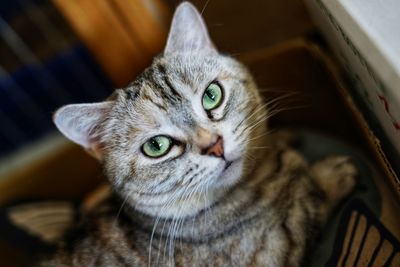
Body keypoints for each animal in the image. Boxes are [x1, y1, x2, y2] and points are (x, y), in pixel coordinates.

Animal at [39, 1, 354, 266]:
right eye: (156, 146)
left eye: (211, 95)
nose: (214, 145)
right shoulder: (277, 245)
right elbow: (308, 199)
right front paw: (332, 172)